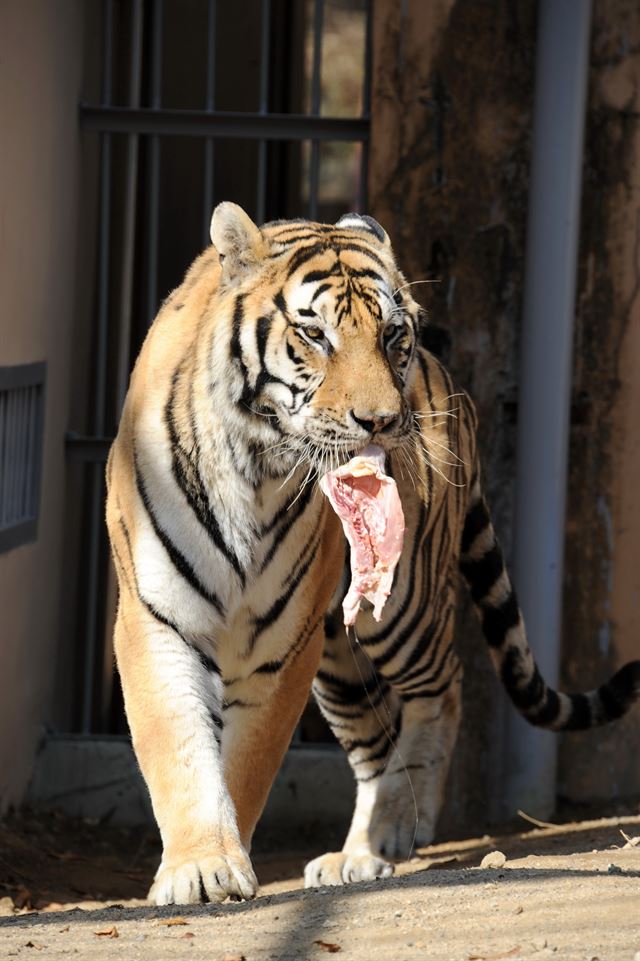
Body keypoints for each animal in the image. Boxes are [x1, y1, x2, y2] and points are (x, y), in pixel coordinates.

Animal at [106, 199, 640, 904]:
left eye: (392, 335)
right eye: (314, 335)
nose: (382, 422)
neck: (252, 469)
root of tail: (448, 379)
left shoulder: (282, 647)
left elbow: (247, 761)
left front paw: (225, 858)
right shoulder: (157, 619)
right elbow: (179, 747)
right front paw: (200, 867)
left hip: (397, 611)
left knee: (444, 687)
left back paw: (389, 833)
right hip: (341, 655)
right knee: (374, 740)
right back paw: (357, 852)